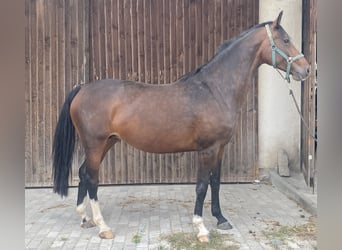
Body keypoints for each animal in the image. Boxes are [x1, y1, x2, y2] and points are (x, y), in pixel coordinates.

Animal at [52, 11, 310, 242]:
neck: (214, 90)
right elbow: (202, 186)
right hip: (95, 144)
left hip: (107, 142)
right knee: (92, 178)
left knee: (83, 173)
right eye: (285, 40)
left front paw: (221, 219)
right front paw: (201, 228)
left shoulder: (220, 148)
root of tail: (82, 88)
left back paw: (85, 219)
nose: (306, 70)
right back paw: (103, 227)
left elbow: (216, 182)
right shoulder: (207, 150)